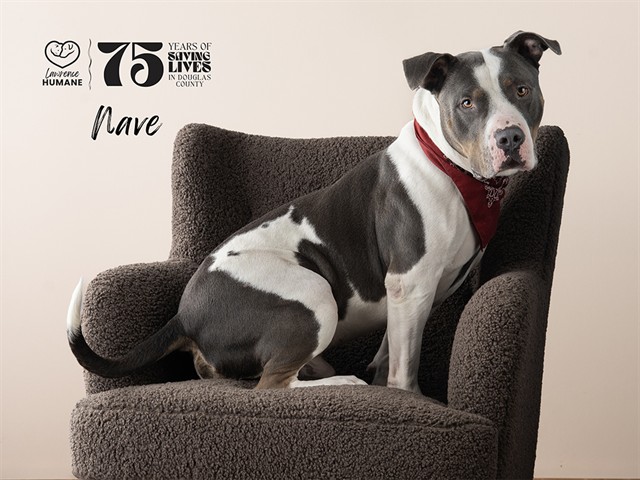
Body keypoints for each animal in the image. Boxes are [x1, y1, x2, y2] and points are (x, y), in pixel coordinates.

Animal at [68, 31, 560, 395]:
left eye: (522, 90)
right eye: (466, 103)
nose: (510, 138)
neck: (453, 170)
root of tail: (185, 312)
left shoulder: (412, 297)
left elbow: (391, 353)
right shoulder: (411, 283)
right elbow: (403, 370)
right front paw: (405, 397)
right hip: (312, 294)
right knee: (272, 385)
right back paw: (342, 384)